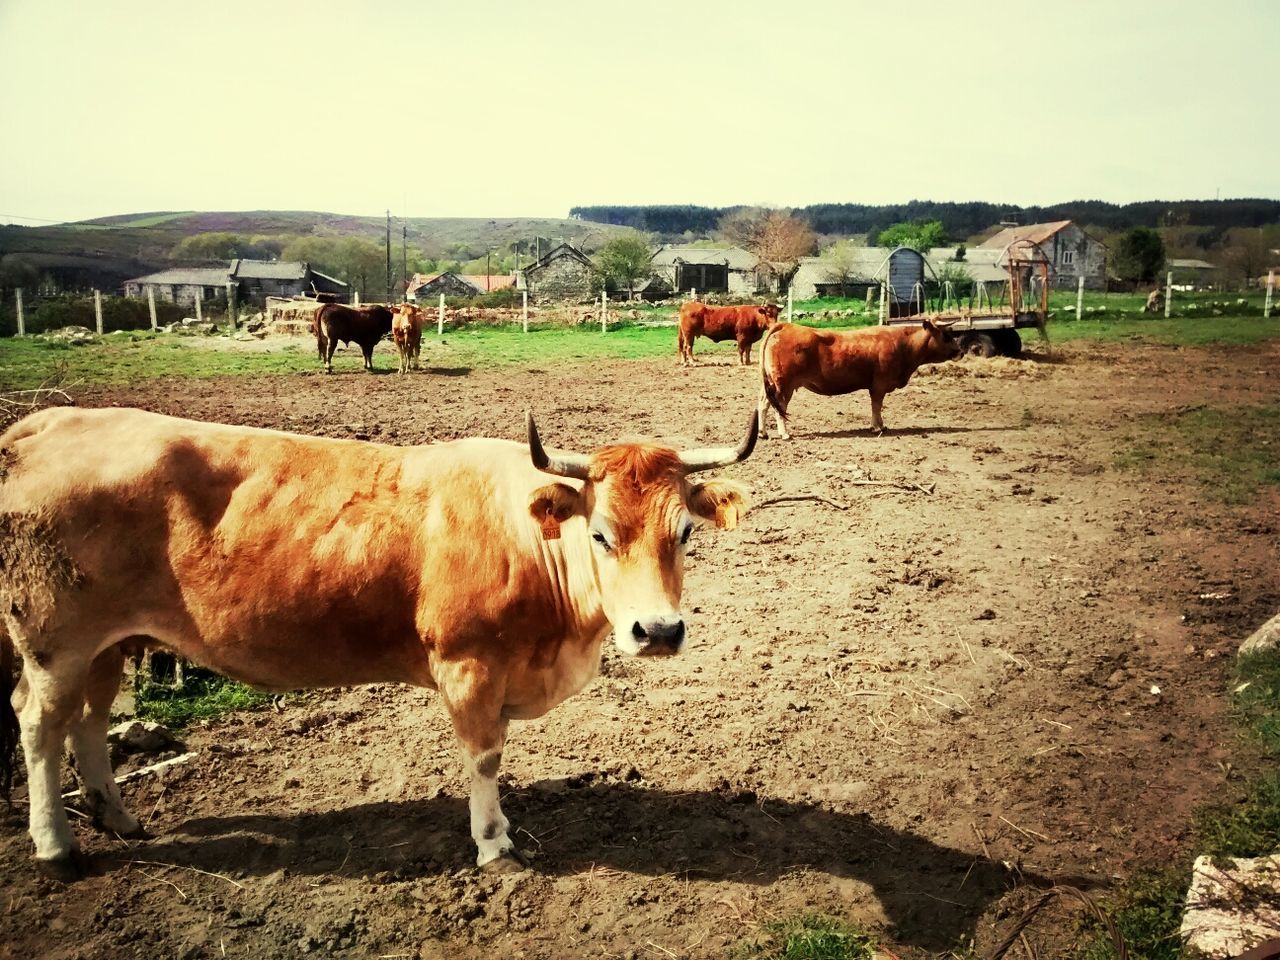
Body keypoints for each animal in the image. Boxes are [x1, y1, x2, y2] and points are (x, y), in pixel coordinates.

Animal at [0, 407, 752, 880]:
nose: (658, 631)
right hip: (53, 642)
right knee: (39, 725)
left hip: (107, 643)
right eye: (600, 535)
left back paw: (119, 817)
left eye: (685, 532)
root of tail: (47, 423)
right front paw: (493, 844)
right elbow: (484, 760)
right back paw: (56, 849)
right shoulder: (468, 667)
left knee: (90, 720)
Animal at [752, 321, 957, 442]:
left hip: (770, 384)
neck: (903, 344)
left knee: (763, 405)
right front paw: (876, 427)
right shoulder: (879, 385)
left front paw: (880, 426)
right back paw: (784, 434)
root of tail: (786, 325)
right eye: (946, 336)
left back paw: (763, 433)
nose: (960, 349)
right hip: (784, 385)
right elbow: (876, 406)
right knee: (779, 408)